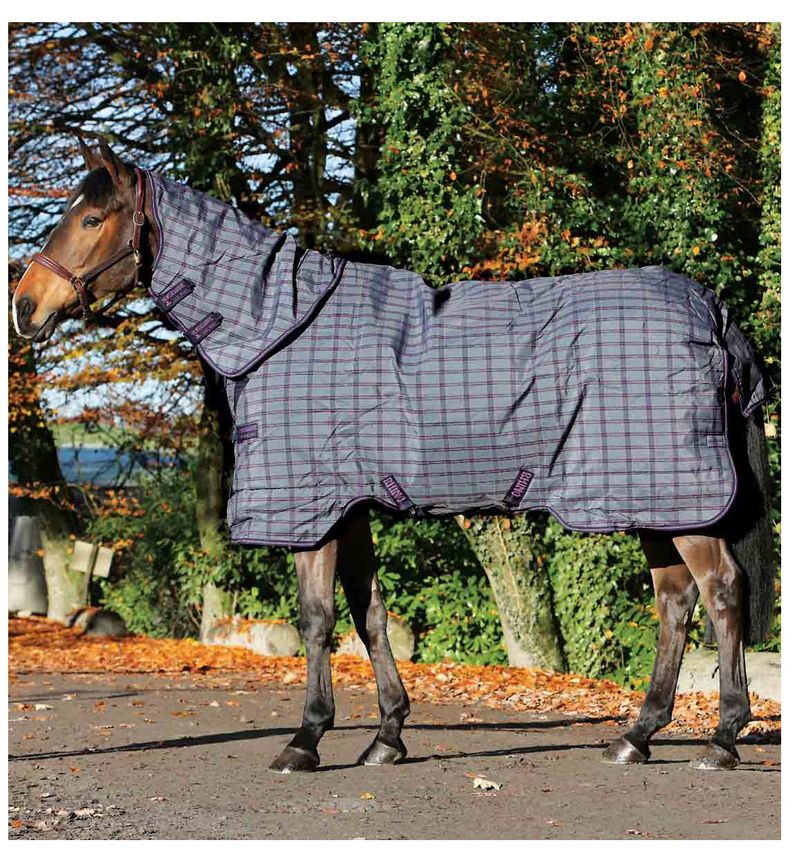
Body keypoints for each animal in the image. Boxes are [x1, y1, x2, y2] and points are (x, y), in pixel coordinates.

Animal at [12, 137, 774, 773]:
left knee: (721, 592)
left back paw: (722, 738)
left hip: (679, 499)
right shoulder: (349, 508)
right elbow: (368, 614)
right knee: (675, 602)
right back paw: (636, 735)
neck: (282, 329)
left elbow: (318, 620)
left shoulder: (313, 513)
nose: (26, 305)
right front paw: (387, 735)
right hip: (653, 501)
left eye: (90, 219)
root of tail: (712, 312)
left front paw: (306, 738)